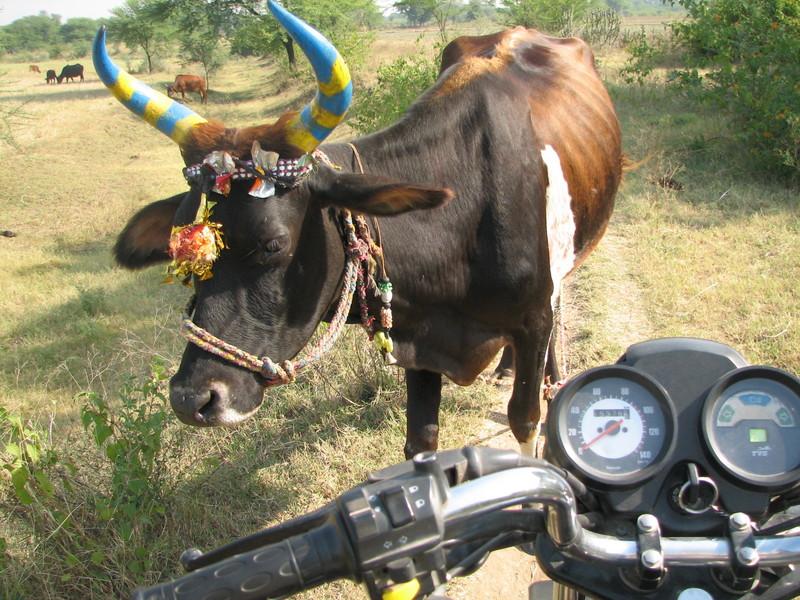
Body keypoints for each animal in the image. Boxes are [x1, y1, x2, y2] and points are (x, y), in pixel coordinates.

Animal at [92, 0, 620, 460]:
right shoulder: (419, 341)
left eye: (273, 244)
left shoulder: (531, 322)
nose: (193, 398)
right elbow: (420, 440)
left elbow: (525, 419)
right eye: (182, 251)